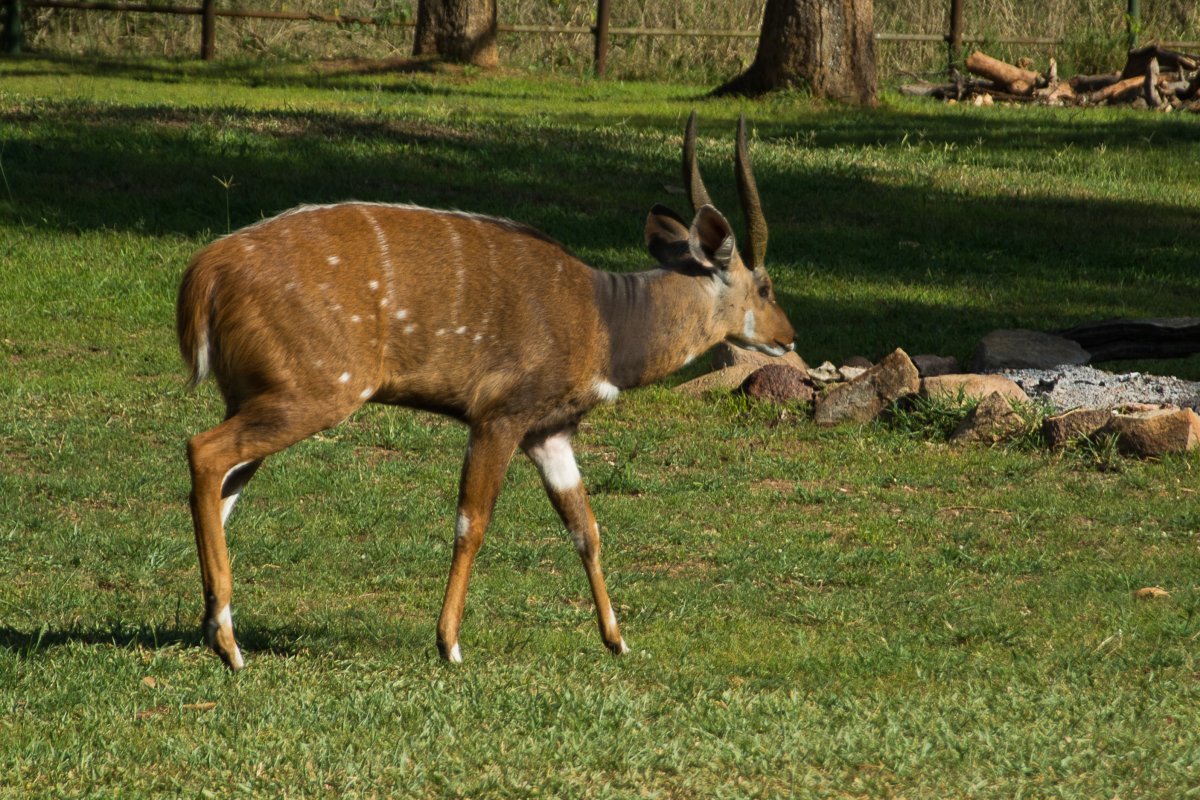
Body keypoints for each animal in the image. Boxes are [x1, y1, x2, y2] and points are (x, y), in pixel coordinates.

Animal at [177, 110, 796, 671]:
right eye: (765, 287)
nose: (789, 338)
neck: (608, 322)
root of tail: (204, 274)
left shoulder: (550, 432)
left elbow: (586, 527)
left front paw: (618, 641)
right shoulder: (500, 415)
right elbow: (471, 522)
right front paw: (450, 645)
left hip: (258, 395)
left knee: (221, 487)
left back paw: (215, 628)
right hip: (312, 393)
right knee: (202, 451)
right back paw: (229, 645)